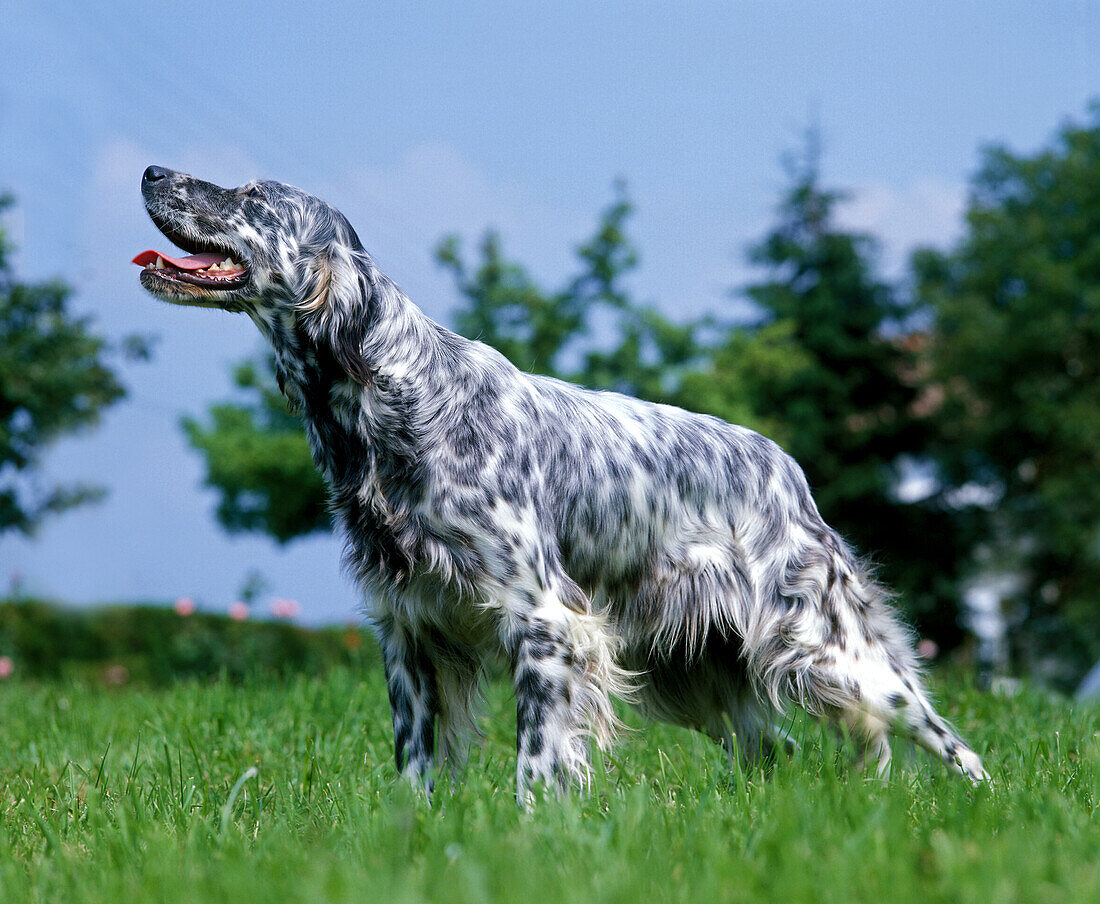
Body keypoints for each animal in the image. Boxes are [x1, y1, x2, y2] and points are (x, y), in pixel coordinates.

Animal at [137, 166, 990, 805]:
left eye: (250, 196)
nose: (150, 171)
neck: (395, 395)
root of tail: (789, 472)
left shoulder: (545, 621)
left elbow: (538, 760)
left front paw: (531, 834)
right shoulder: (409, 628)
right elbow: (416, 761)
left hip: (829, 648)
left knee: (942, 736)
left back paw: (982, 801)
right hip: (697, 675)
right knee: (776, 748)